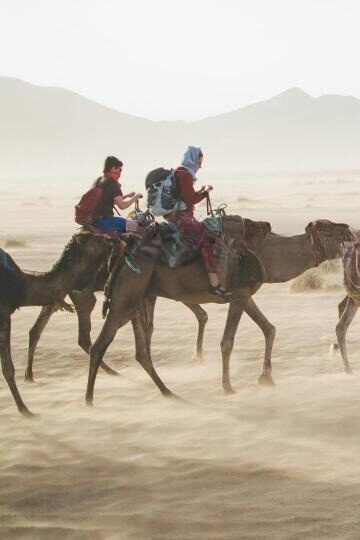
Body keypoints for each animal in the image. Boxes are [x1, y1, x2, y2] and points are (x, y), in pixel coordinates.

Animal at [0, 233, 124, 418]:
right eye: (95, 239)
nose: (114, 240)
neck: (22, 284)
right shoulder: (3, 314)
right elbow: (8, 367)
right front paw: (24, 410)